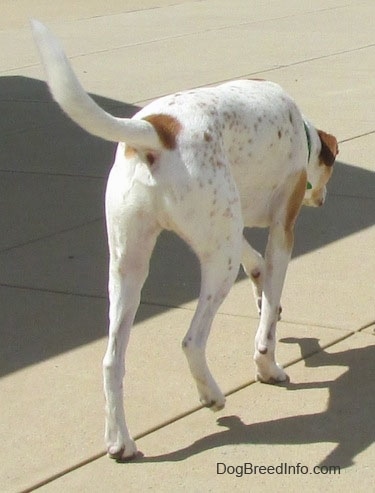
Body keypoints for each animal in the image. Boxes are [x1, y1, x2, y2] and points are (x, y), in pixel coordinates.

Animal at [30, 19, 340, 458]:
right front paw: (267, 365)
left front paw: (263, 294)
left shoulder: (229, 231)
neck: (302, 130)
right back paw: (211, 394)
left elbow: (257, 269)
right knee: (192, 340)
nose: (324, 198)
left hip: (129, 267)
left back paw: (120, 440)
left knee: (111, 361)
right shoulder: (282, 230)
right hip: (217, 269)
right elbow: (267, 321)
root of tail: (157, 130)